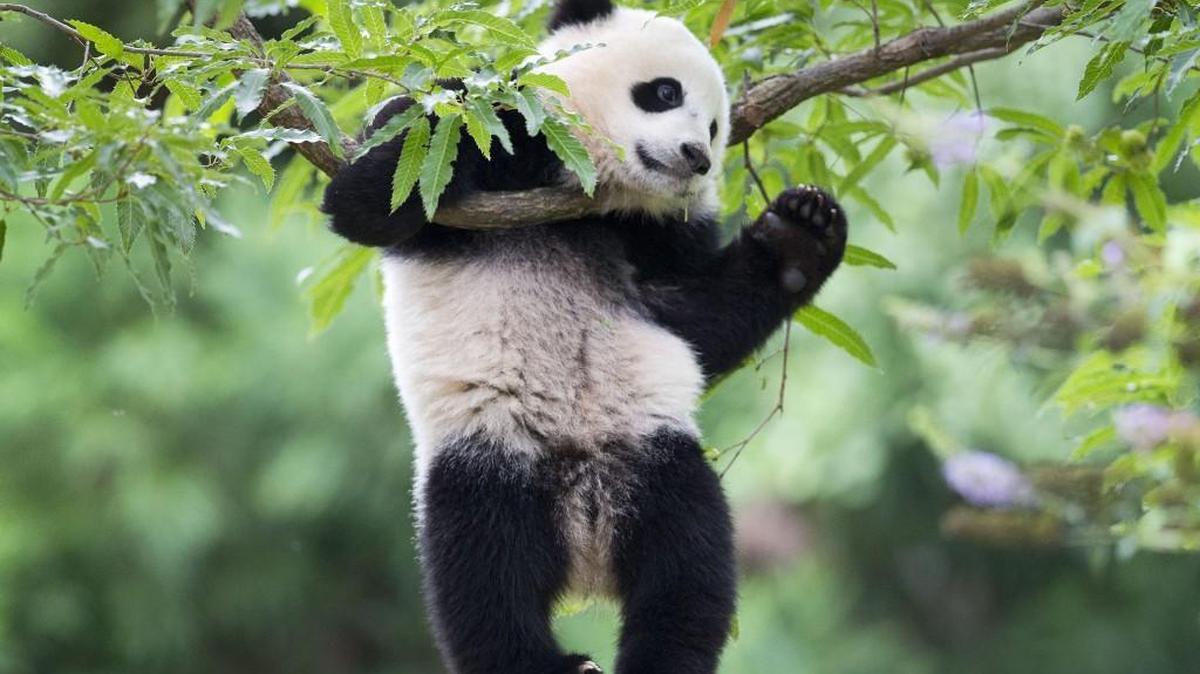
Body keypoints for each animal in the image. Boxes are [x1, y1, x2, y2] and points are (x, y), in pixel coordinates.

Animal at [321, 1, 847, 672]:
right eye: (665, 92)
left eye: (715, 128)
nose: (695, 157)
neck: (594, 192)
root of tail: (584, 542)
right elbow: (377, 195)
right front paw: (447, 122)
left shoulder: (657, 237)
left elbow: (700, 322)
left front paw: (802, 233)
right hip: (492, 456)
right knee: (483, 571)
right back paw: (541, 661)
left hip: (653, 458)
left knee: (690, 563)